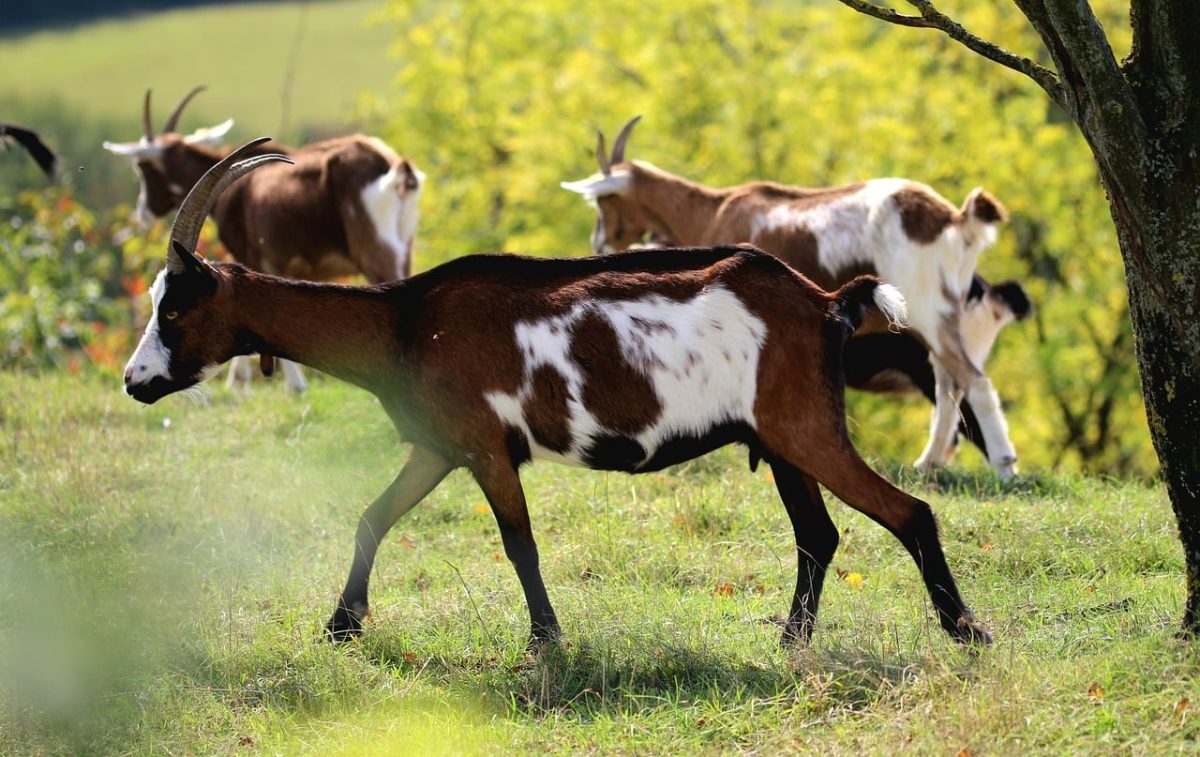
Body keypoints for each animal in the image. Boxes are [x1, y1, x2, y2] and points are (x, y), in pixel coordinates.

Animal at [103, 87, 423, 393]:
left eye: (142, 167)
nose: (143, 212)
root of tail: (393, 169)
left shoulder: (252, 257)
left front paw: (269, 385)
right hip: (403, 248)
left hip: (376, 251)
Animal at [123, 140, 991, 649]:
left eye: (175, 308)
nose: (136, 381)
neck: (405, 322)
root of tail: (823, 301)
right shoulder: (438, 445)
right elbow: (373, 515)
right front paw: (341, 624)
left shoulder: (484, 448)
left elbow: (519, 542)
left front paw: (546, 641)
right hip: (779, 441)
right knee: (818, 535)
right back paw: (791, 640)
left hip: (806, 426)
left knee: (909, 512)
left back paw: (965, 631)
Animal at [563, 117, 1021, 481]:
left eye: (605, 198)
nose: (600, 242)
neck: (713, 210)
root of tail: (956, 220)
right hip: (940, 315)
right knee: (949, 387)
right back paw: (928, 465)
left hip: (927, 309)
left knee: (973, 381)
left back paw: (1005, 468)